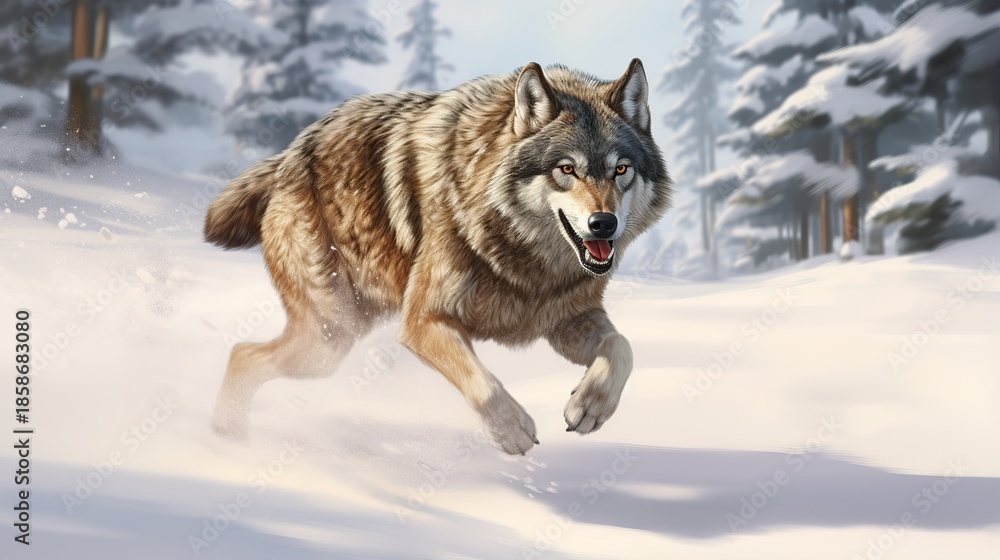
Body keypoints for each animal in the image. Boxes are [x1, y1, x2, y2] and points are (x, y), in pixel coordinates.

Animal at [204, 59, 672, 454]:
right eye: (567, 169)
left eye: (621, 169)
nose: (603, 224)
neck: (525, 257)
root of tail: (287, 155)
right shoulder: (424, 320)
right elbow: (482, 380)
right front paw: (512, 428)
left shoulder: (565, 320)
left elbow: (622, 349)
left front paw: (590, 406)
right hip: (327, 340)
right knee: (242, 353)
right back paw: (225, 442)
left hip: (334, 339)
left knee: (242, 353)